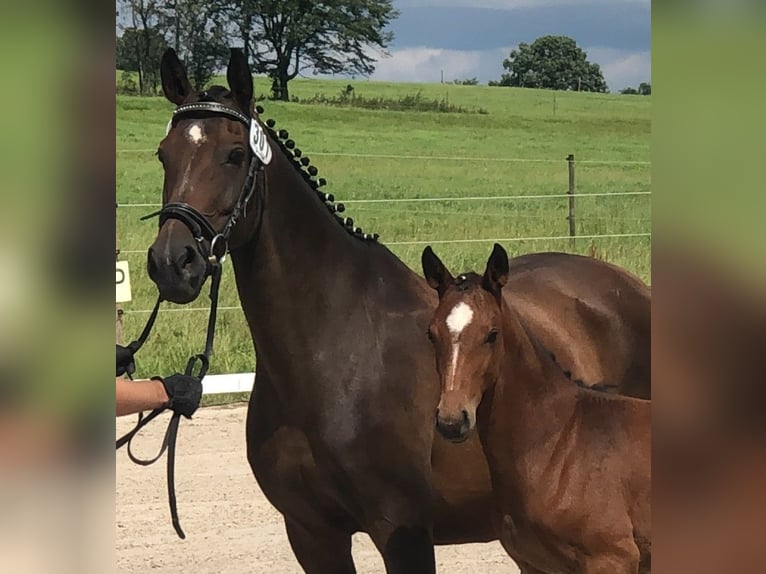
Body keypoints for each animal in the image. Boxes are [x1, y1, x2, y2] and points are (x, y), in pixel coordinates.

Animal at [422, 243, 651, 573]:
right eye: (432, 333)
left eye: (492, 334)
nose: (452, 421)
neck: (560, 442)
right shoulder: (532, 564)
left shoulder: (612, 559)